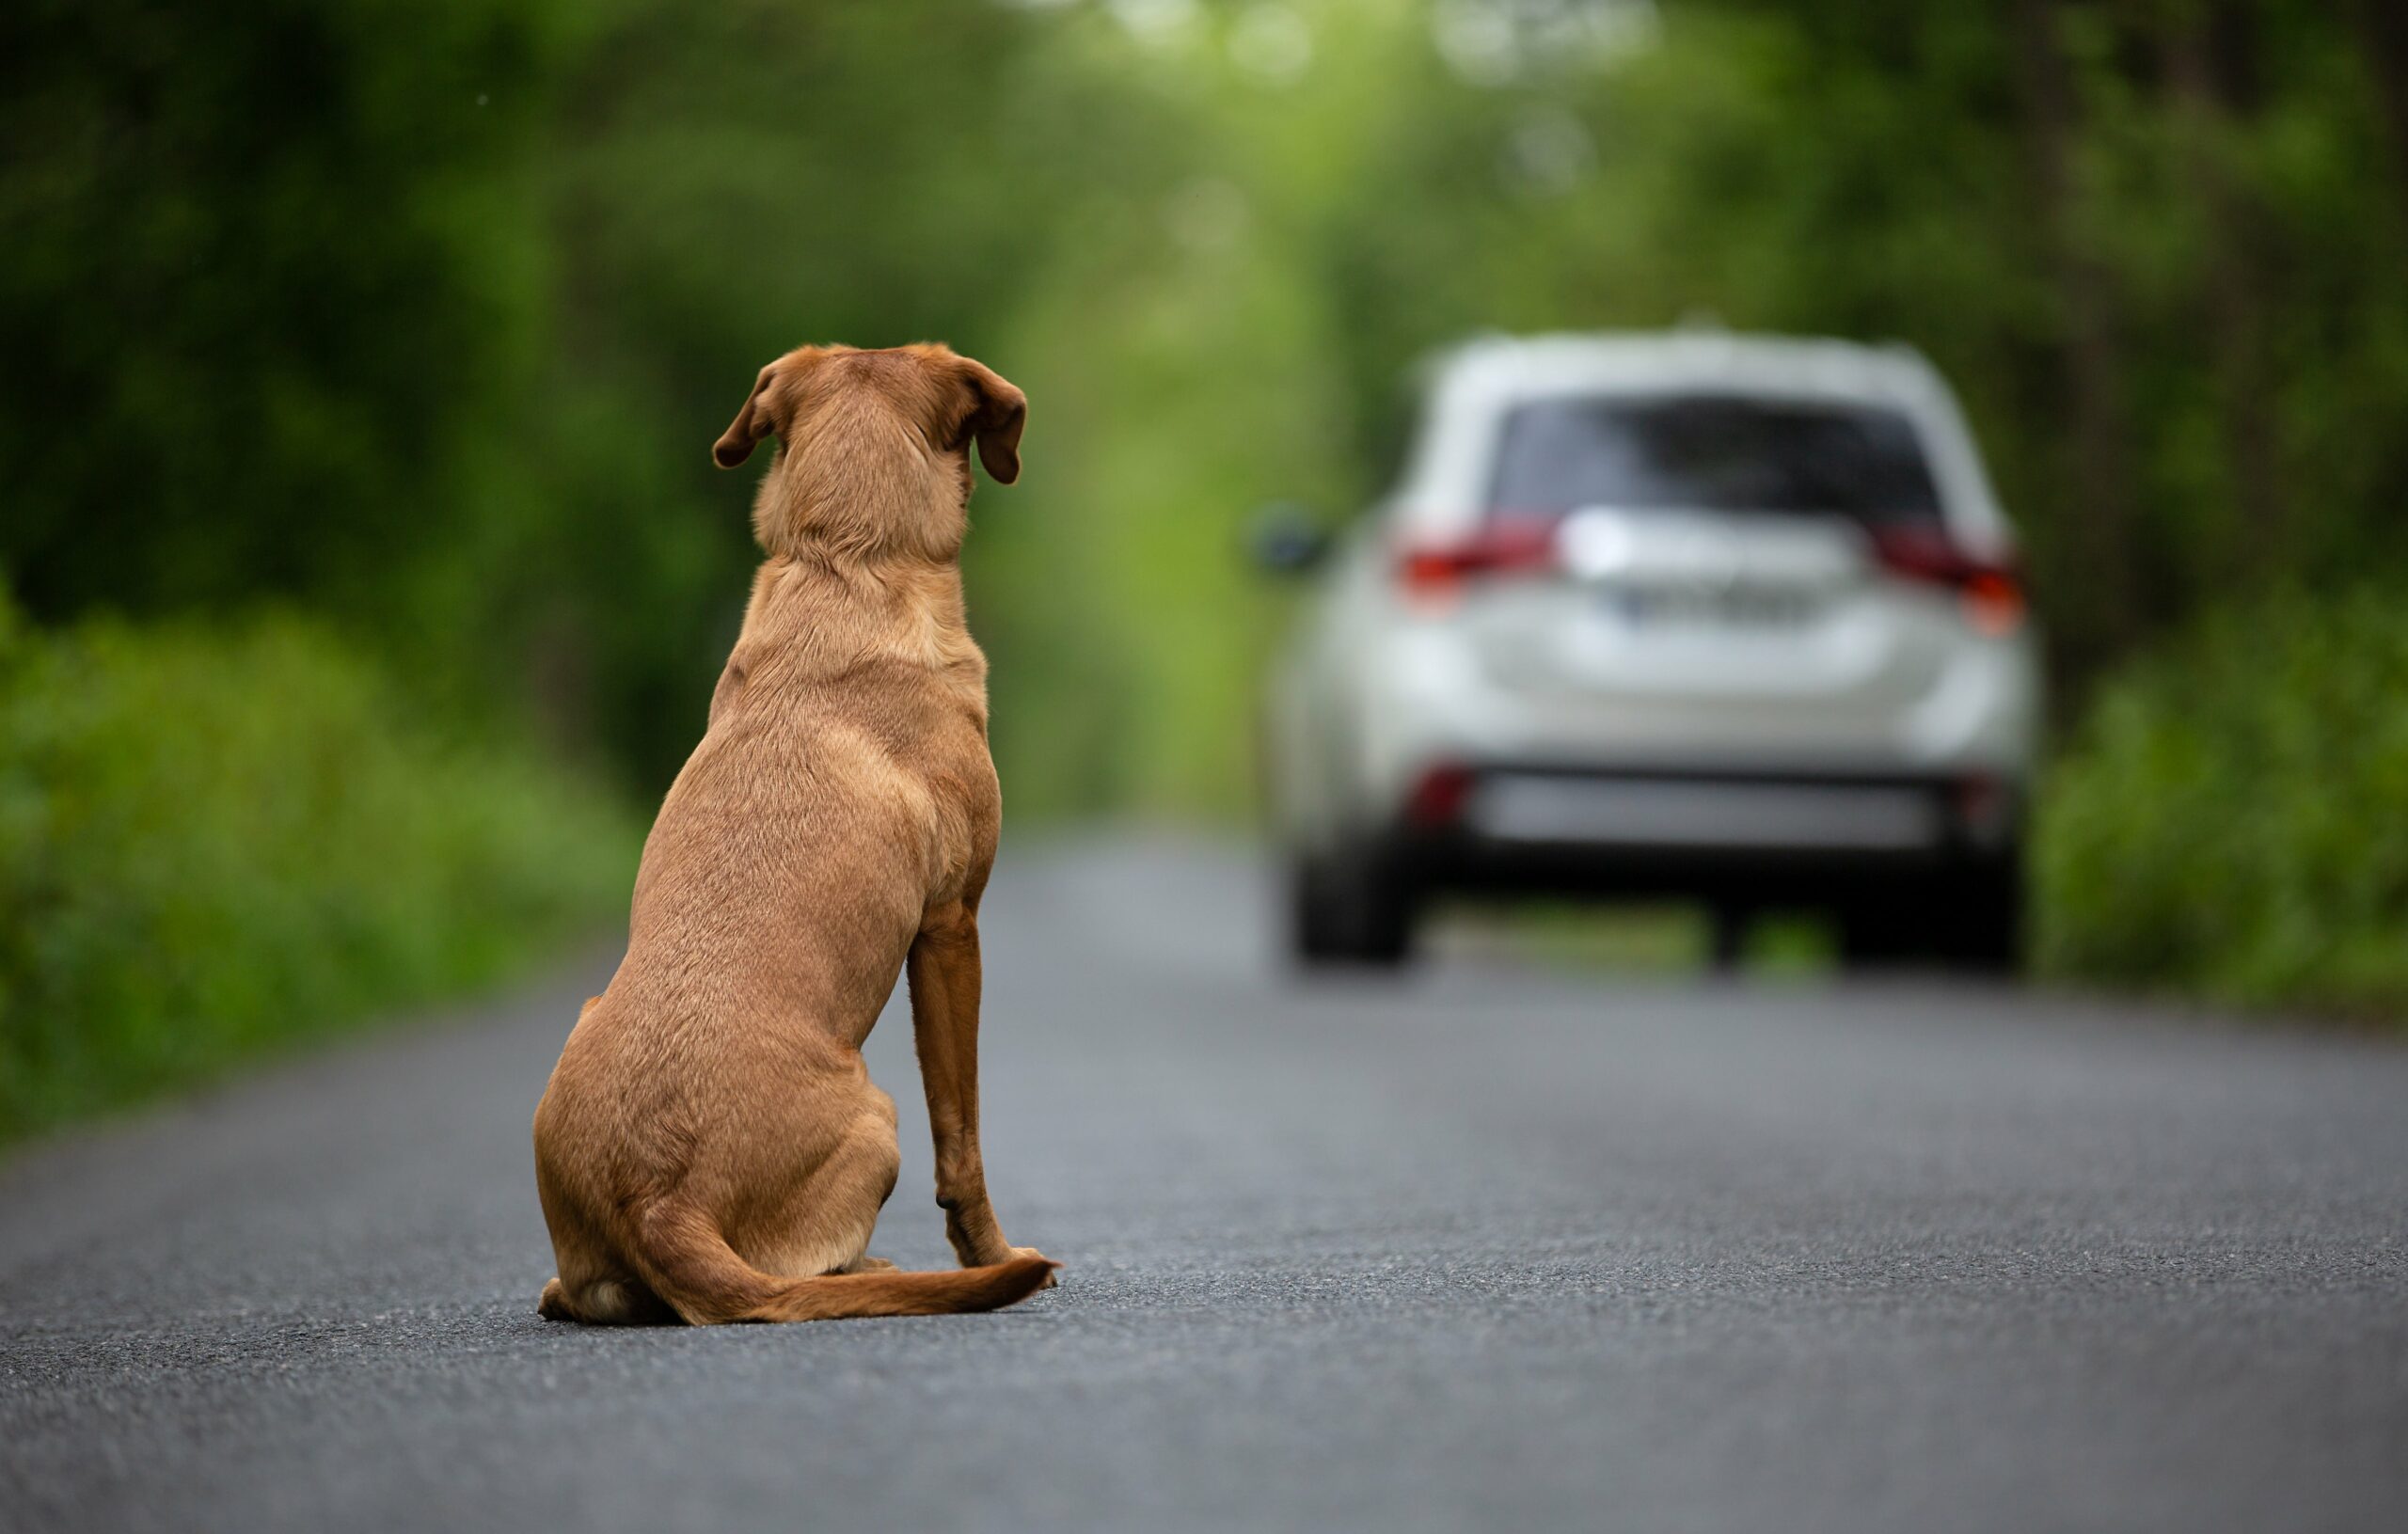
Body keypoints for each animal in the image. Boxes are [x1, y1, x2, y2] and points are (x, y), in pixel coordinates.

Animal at [536, 341, 1054, 1320]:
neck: (846, 562)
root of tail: (659, 1200)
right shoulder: (951, 927)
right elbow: (962, 1136)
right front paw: (992, 1251)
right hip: (880, 1116)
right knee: (815, 1268)